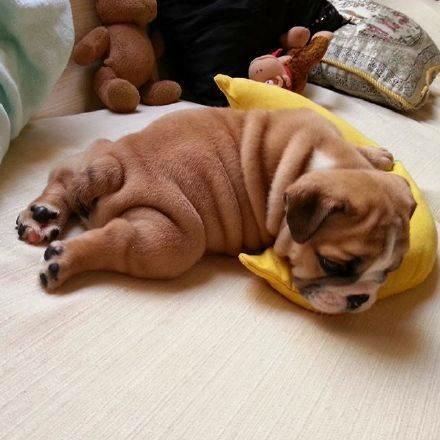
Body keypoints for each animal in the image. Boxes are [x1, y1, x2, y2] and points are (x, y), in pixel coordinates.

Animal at [16, 108, 416, 313]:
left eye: (389, 272)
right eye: (331, 265)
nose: (360, 299)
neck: (322, 162)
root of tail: (117, 166)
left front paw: (379, 156)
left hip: (95, 150)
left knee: (64, 175)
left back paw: (42, 216)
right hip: (174, 240)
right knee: (118, 238)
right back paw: (63, 258)